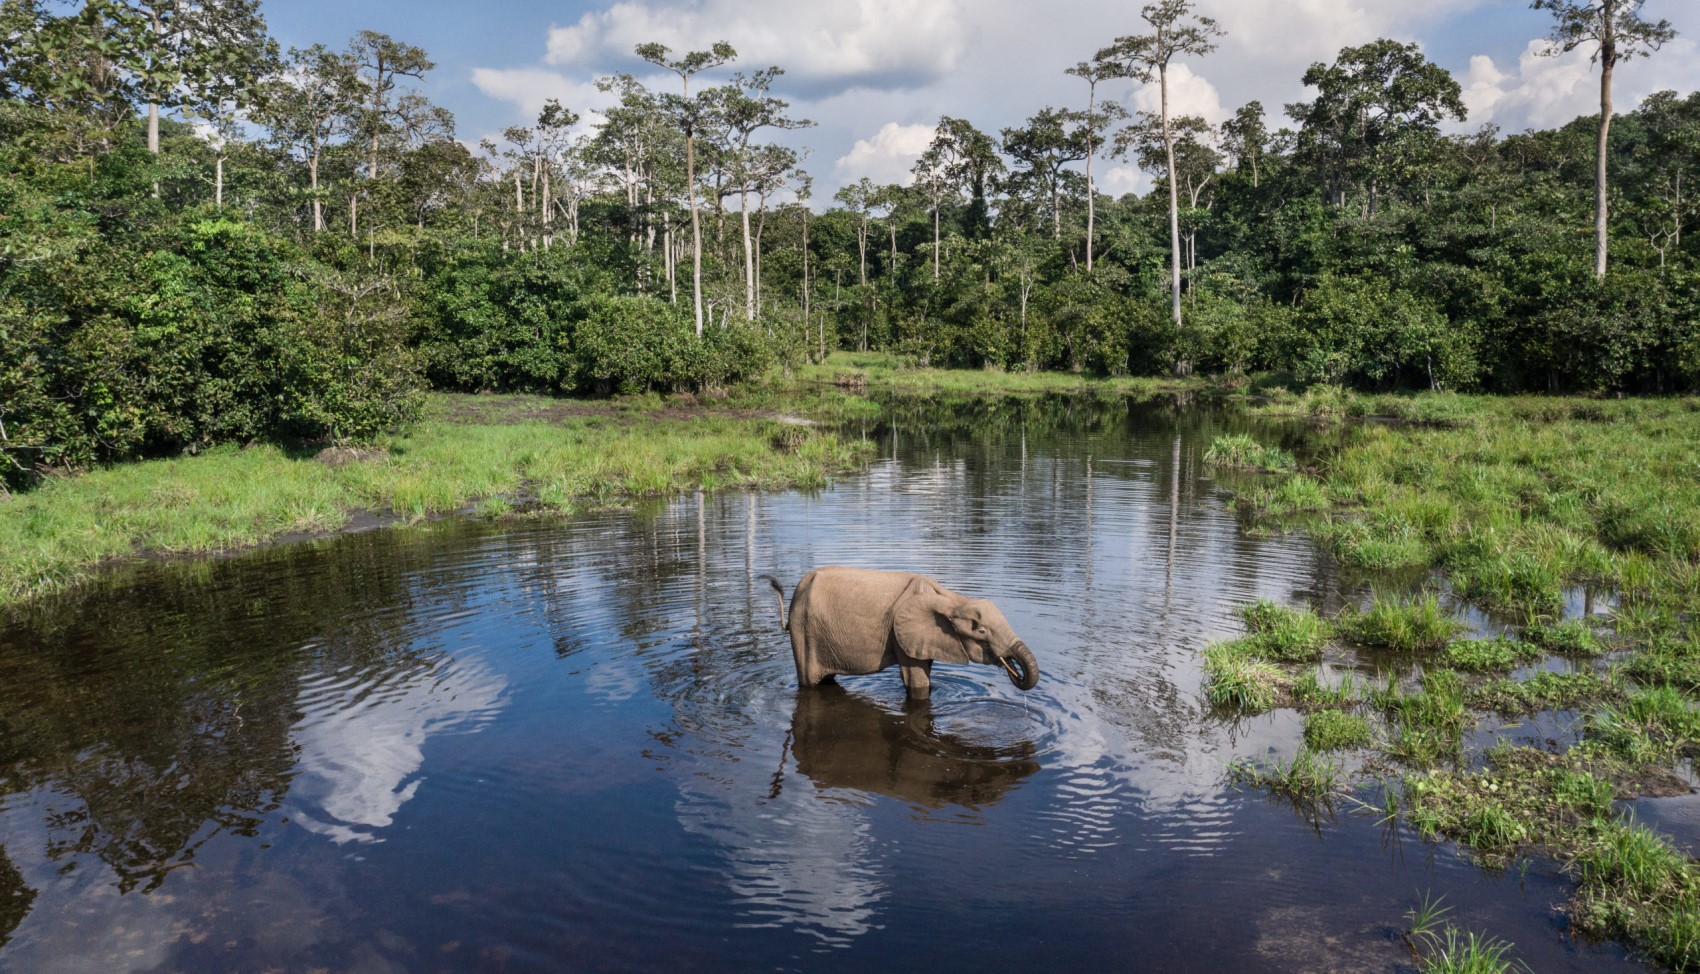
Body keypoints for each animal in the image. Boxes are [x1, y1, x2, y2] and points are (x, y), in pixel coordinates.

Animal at [765, 564, 1040, 693]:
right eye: (981, 632)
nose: (1014, 670)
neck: (952, 599)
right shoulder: (901, 634)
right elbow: (916, 680)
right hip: (803, 630)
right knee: (810, 682)